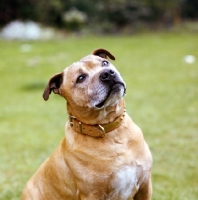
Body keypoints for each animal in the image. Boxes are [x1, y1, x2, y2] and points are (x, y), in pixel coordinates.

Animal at [21, 48, 152, 200]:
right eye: (81, 78)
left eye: (105, 63)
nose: (108, 73)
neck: (110, 132)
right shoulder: (91, 194)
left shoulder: (145, 185)